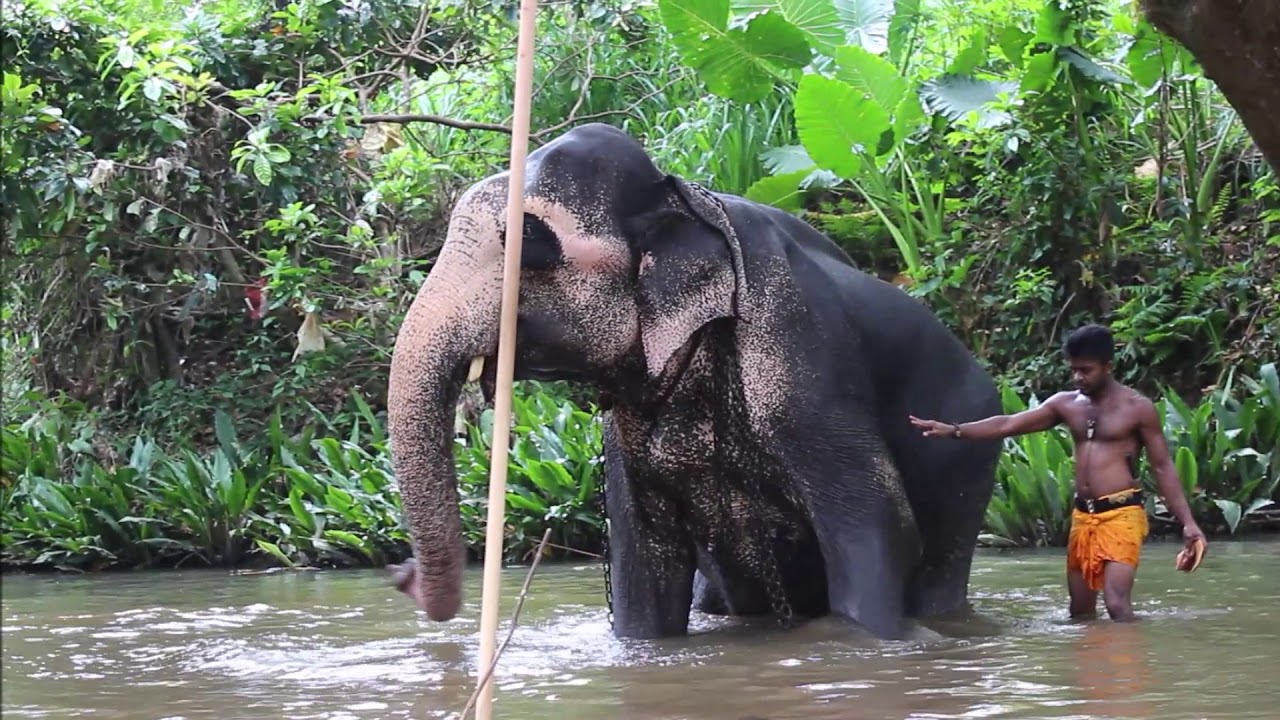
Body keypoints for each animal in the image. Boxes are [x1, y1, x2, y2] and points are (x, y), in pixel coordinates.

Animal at [385, 122, 1004, 641]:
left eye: (531, 239)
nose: (402, 573)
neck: (677, 197)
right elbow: (642, 555)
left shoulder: (798, 346)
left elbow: (874, 524)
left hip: (967, 453)